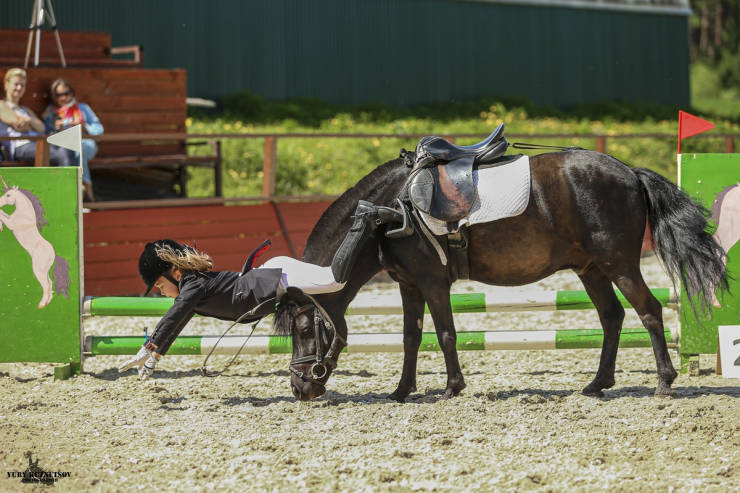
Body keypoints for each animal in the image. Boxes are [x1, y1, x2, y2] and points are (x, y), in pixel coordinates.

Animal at [274, 150, 728, 400]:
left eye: (302, 327)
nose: (299, 388)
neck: (390, 210)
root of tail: (630, 172)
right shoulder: (409, 286)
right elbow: (410, 338)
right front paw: (402, 390)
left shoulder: (434, 283)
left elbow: (445, 334)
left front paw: (452, 387)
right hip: (591, 269)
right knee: (612, 317)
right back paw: (598, 383)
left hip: (619, 264)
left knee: (649, 311)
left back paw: (664, 382)